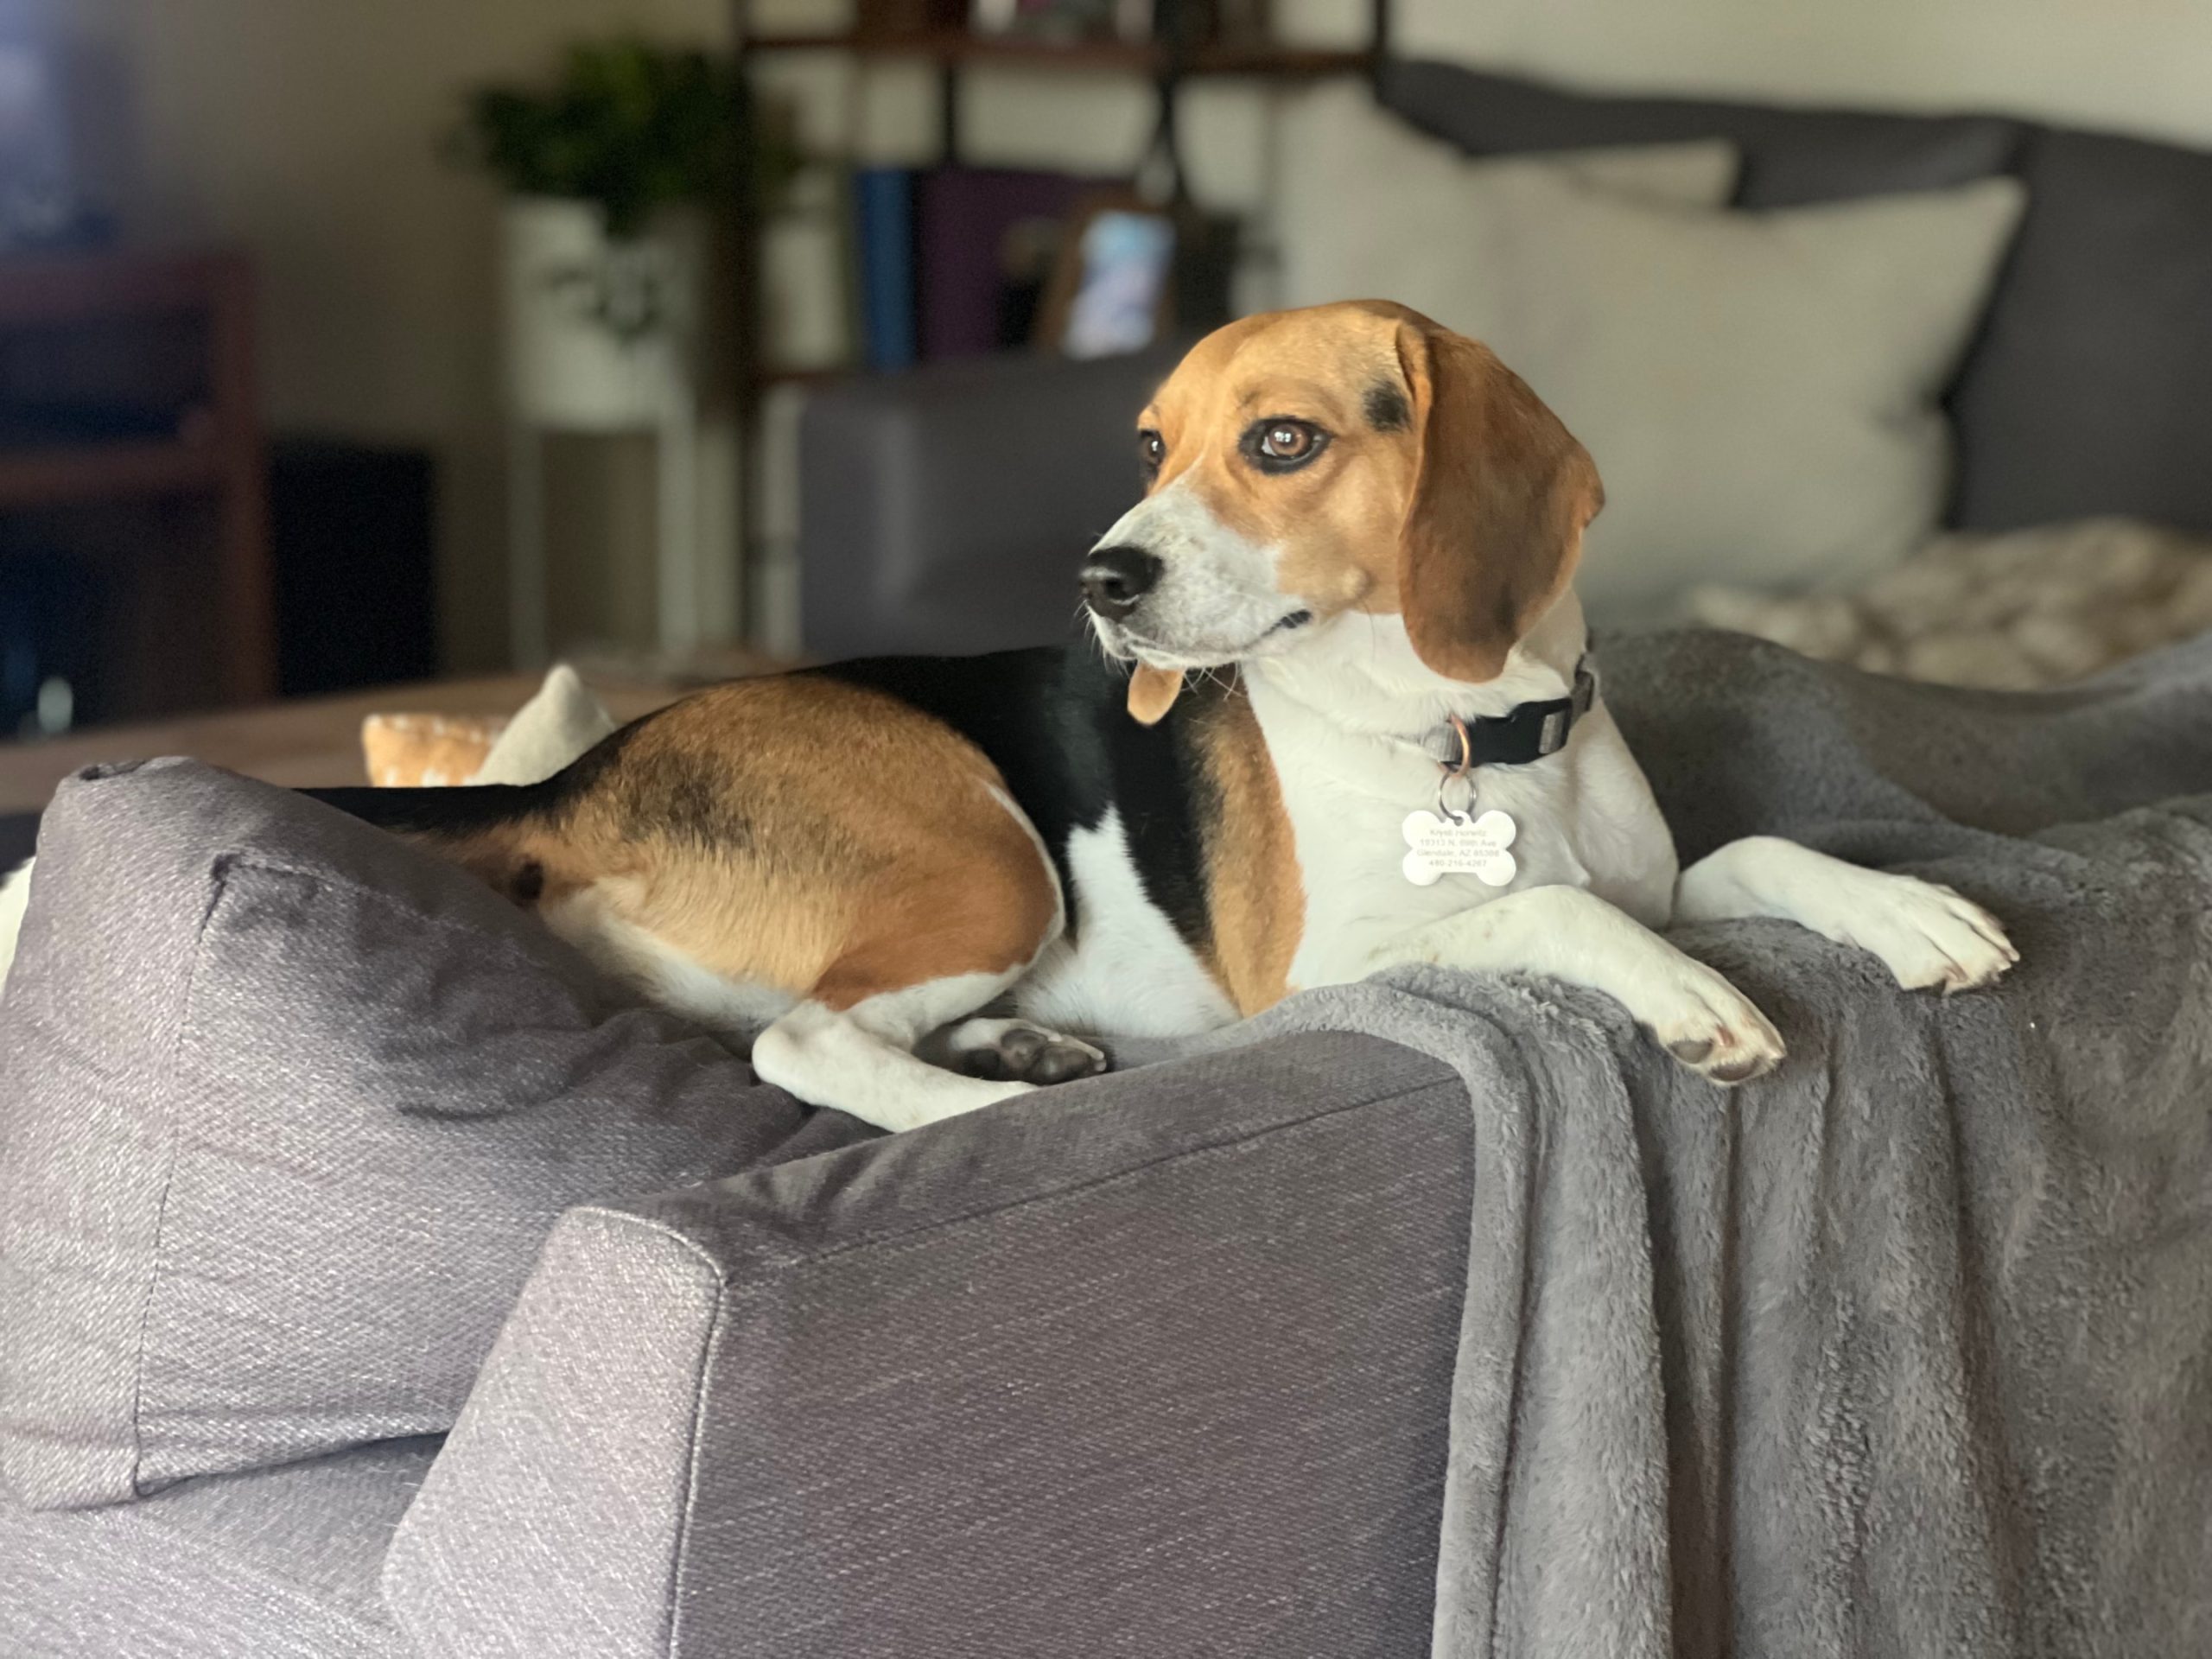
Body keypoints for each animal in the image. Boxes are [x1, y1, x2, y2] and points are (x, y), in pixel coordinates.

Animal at [321, 302, 2017, 1132]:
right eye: (1151, 443)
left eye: (1282, 441)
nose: (1101, 577)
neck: (1472, 741)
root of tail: (587, 773)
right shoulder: (1318, 972)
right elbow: (1555, 913)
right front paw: (1690, 997)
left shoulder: (1665, 869)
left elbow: (1750, 862)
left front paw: (1912, 910)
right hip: (993, 856)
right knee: (805, 1048)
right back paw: (972, 1113)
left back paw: (1021, 1047)